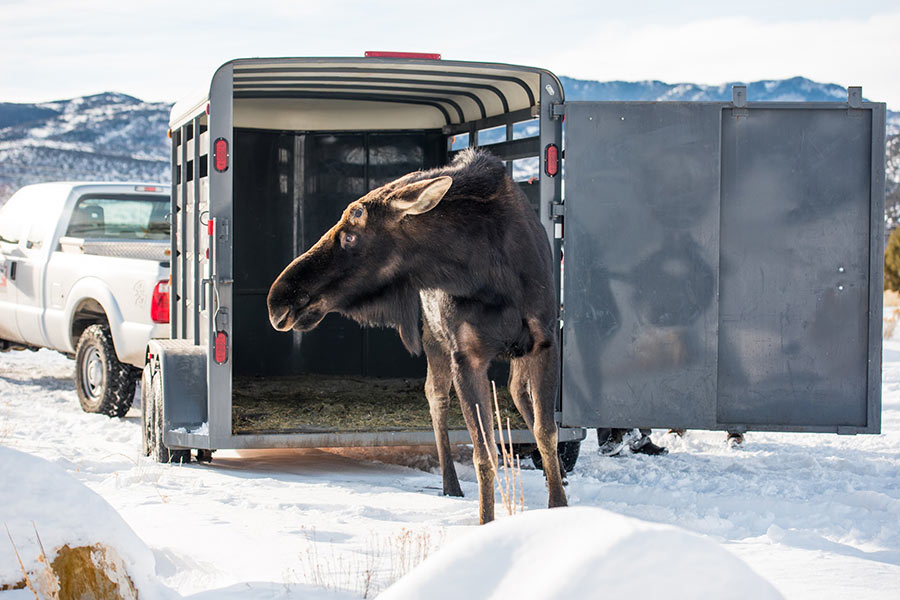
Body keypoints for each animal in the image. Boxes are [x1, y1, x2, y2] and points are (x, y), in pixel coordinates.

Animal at [264, 148, 568, 524]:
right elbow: (485, 454)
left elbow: (546, 432)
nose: (278, 299)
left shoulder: (544, 341)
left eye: (351, 235)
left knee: (516, 391)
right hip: (434, 340)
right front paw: (486, 521)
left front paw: (560, 504)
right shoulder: (466, 355)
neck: (486, 273)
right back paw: (450, 483)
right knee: (436, 397)